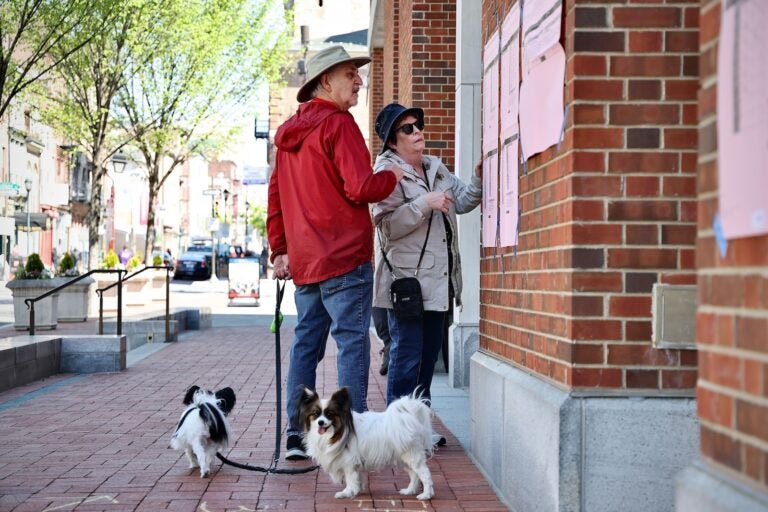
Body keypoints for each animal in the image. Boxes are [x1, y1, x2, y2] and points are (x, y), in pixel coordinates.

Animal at [296, 386, 436, 498]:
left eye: (330, 414)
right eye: (315, 414)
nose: (320, 422)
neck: (336, 433)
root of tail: (409, 417)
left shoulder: (349, 463)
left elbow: (350, 480)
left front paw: (346, 493)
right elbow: (357, 479)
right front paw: (356, 490)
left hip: (412, 456)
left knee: (425, 474)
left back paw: (426, 495)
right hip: (404, 458)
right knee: (414, 475)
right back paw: (409, 491)